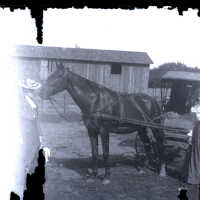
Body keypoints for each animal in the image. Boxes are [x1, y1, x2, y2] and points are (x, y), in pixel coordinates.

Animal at [38, 63, 166, 184]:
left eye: (57, 76)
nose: (40, 93)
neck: (95, 102)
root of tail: (152, 100)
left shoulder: (104, 131)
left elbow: (105, 153)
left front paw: (106, 177)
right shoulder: (91, 131)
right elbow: (94, 153)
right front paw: (93, 175)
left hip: (155, 127)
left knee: (160, 144)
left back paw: (162, 171)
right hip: (141, 128)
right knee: (147, 144)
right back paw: (143, 168)